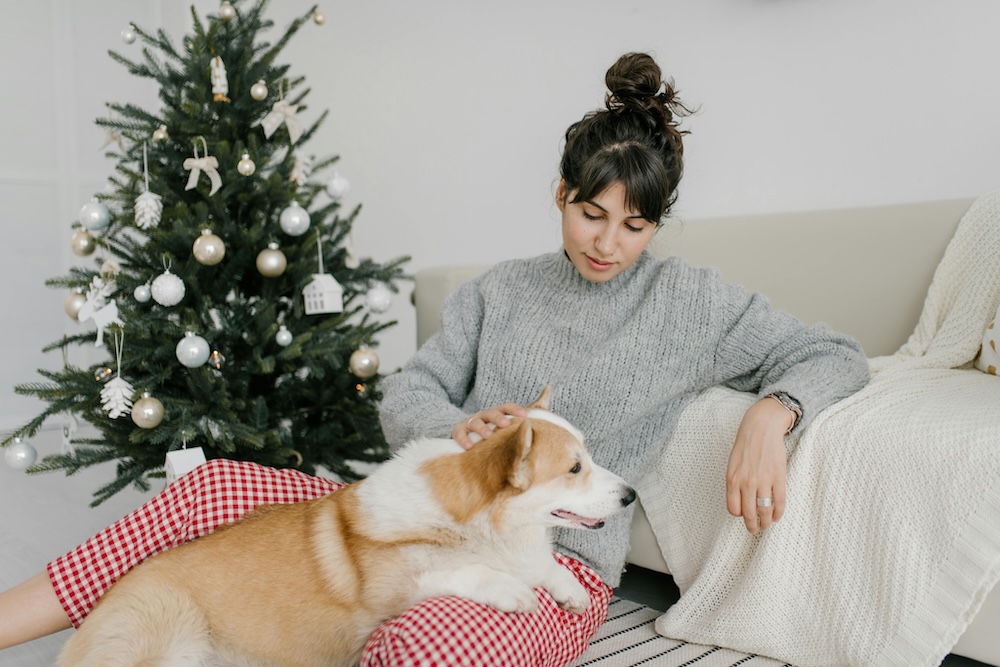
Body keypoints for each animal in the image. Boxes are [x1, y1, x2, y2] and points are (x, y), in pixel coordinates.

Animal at [56, 388, 632, 664]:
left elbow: (547, 566)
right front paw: (513, 590)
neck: (477, 521)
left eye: (589, 459)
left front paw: (568, 590)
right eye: (574, 468)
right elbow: (461, 571)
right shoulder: (391, 589)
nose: (630, 496)